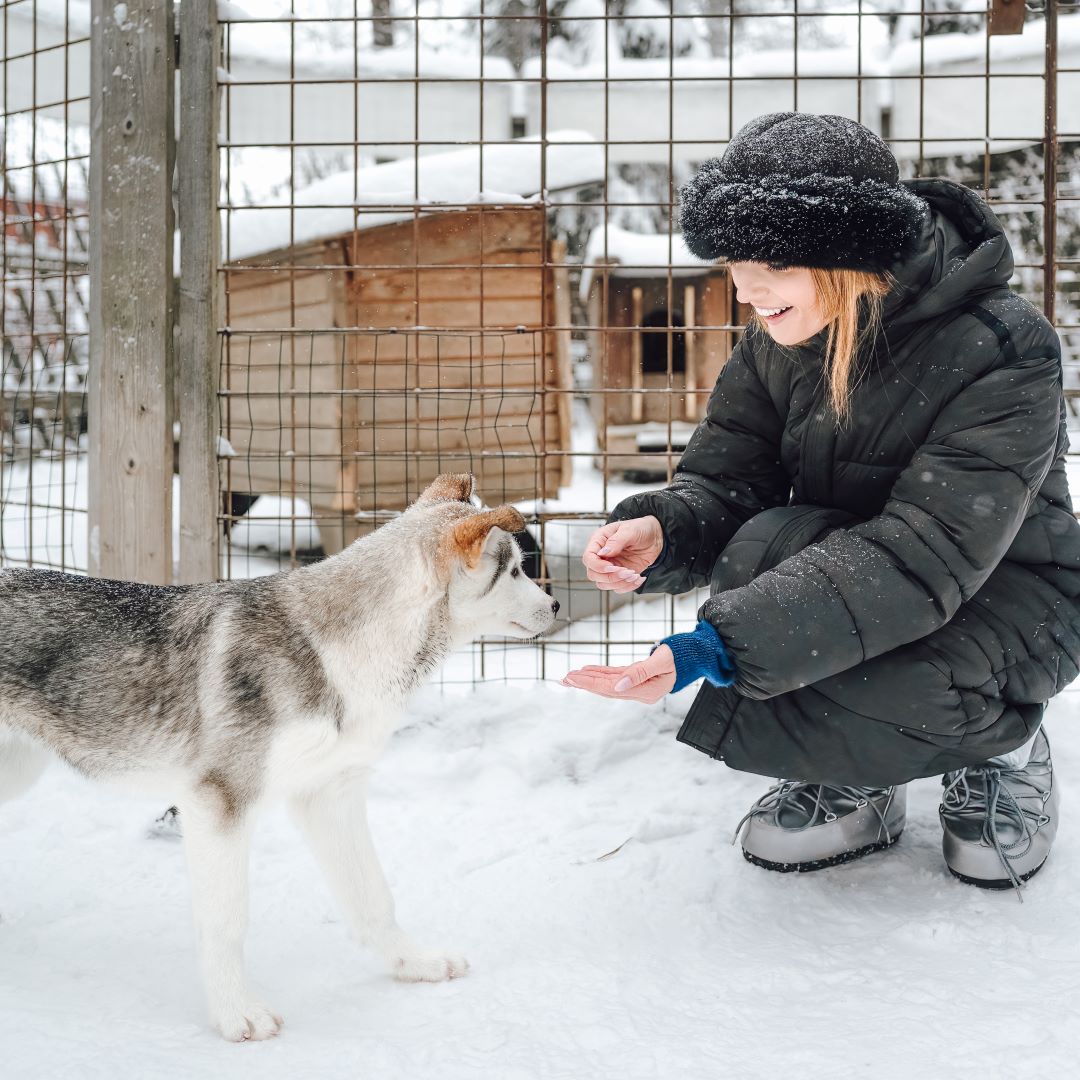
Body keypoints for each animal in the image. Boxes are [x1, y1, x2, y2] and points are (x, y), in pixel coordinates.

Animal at [0, 473, 557, 1036]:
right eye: (513, 570)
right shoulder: (220, 806)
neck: (335, 649)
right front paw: (234, 1014)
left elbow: (373, 898)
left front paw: (413, 964)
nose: (556, 606)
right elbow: (226, 922)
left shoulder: (330, 795)